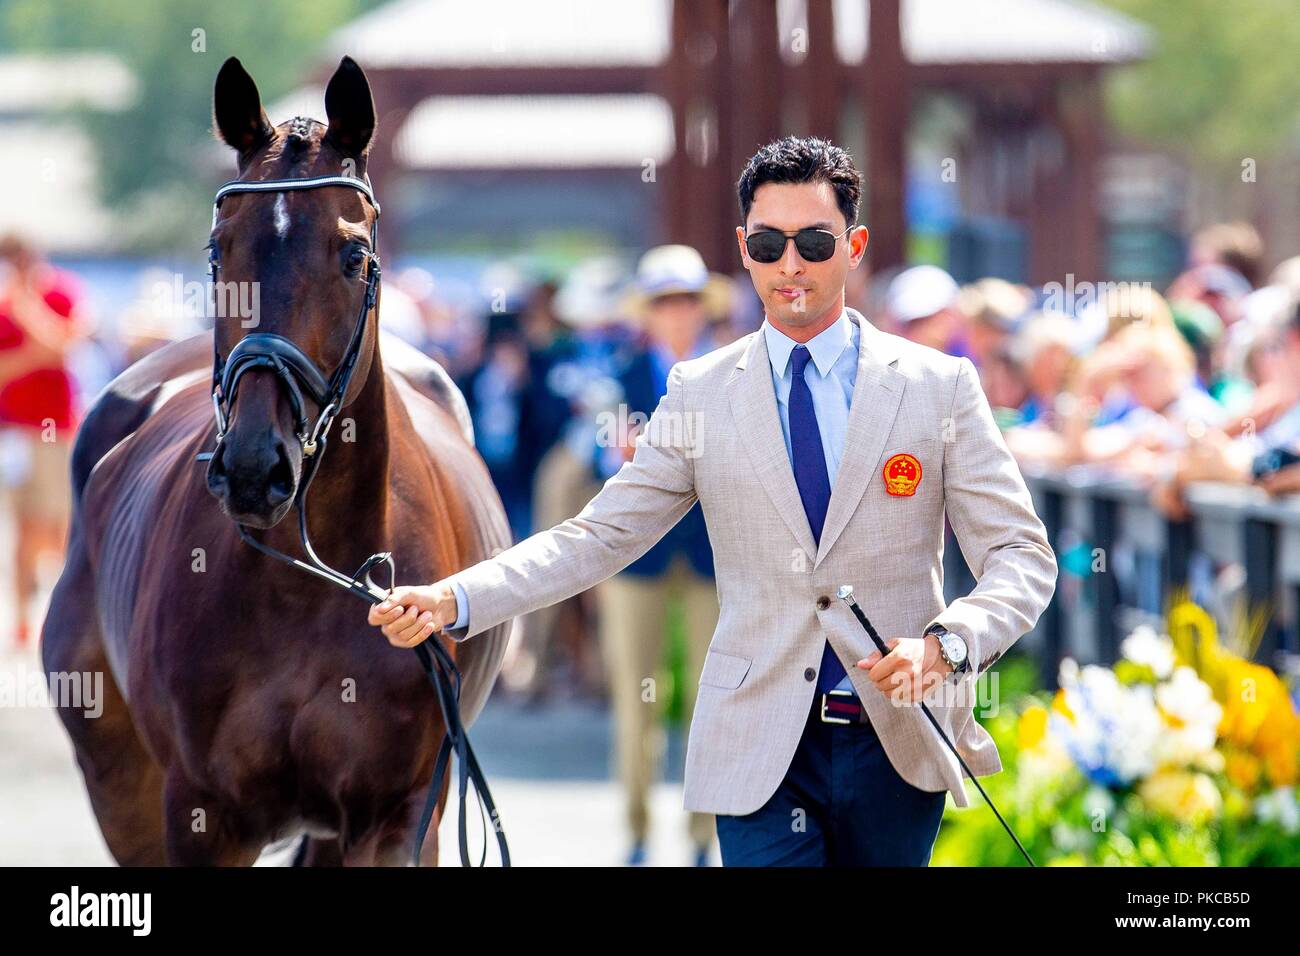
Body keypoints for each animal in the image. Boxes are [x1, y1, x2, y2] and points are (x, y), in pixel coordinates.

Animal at [36, 57, 512, 868]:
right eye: (217, 251)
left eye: (354, 256)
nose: (257, 469)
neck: (303, 587)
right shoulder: (202, 813)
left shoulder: (396, 815)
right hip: (120, 784)